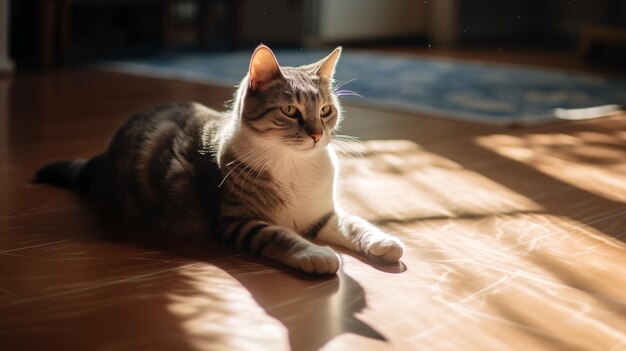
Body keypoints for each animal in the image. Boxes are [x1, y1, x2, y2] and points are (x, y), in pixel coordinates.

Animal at [35, 44, 404, 276]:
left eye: (326, 110)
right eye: (290, 110)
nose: (316, 135)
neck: (293, 164)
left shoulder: (321, 214)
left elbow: (353, 223)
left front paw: (383, 241)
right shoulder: (235, 221)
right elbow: (279, 235)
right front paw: (314, 253)